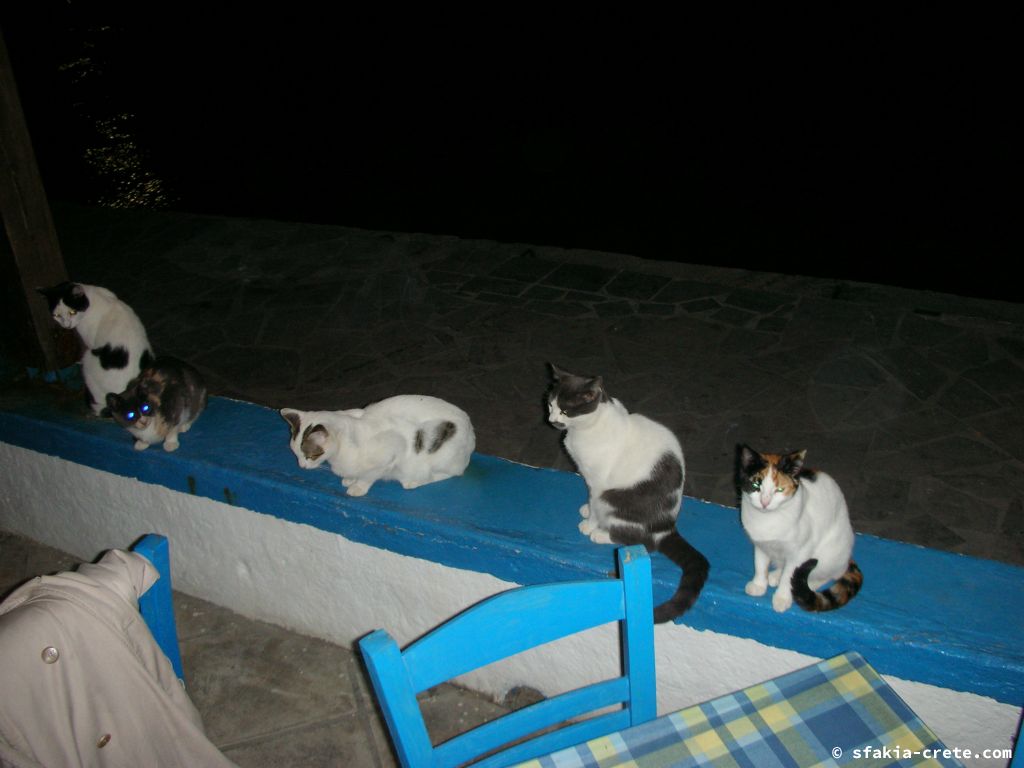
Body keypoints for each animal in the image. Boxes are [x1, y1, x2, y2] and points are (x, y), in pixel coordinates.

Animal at [37, 280, 152, 415]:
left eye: (72, 312)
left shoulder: (90, 340)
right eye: (56, 315)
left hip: (88, 360)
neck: (93, 298)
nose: (66, 325)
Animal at [278, 393, 473, 495]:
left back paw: (414, 481)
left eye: (311, 455)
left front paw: (358, 487)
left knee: (452, 473)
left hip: (441, 458)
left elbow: (370, 475)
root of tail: (471, 433)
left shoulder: (395, 447)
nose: (301, 466)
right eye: (295, 454)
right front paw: (350, 478)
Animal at [548, 366, 708, 626]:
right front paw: (586, 509)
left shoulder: (599, 483)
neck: (588, 427)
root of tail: (665, 526)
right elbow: (589, 498)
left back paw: (600, 534)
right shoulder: (588, 478)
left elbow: (594, 501)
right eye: (550, 404)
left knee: (644, 542)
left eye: (565, 410)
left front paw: (590, 523)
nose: (552, 419)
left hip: (615, 499)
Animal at [737, 444, 864, 614]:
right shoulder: (760, 544)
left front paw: (782, 598)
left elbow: (789, 575)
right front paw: (758, 585)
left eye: (779, 490)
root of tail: (848, 557)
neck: (767, 520)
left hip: (829, 553)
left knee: (828, 574)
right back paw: (775, 575)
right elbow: (760, 564)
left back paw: (808, 584)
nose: (765, 502)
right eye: (756, 485)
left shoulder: (801, 551)